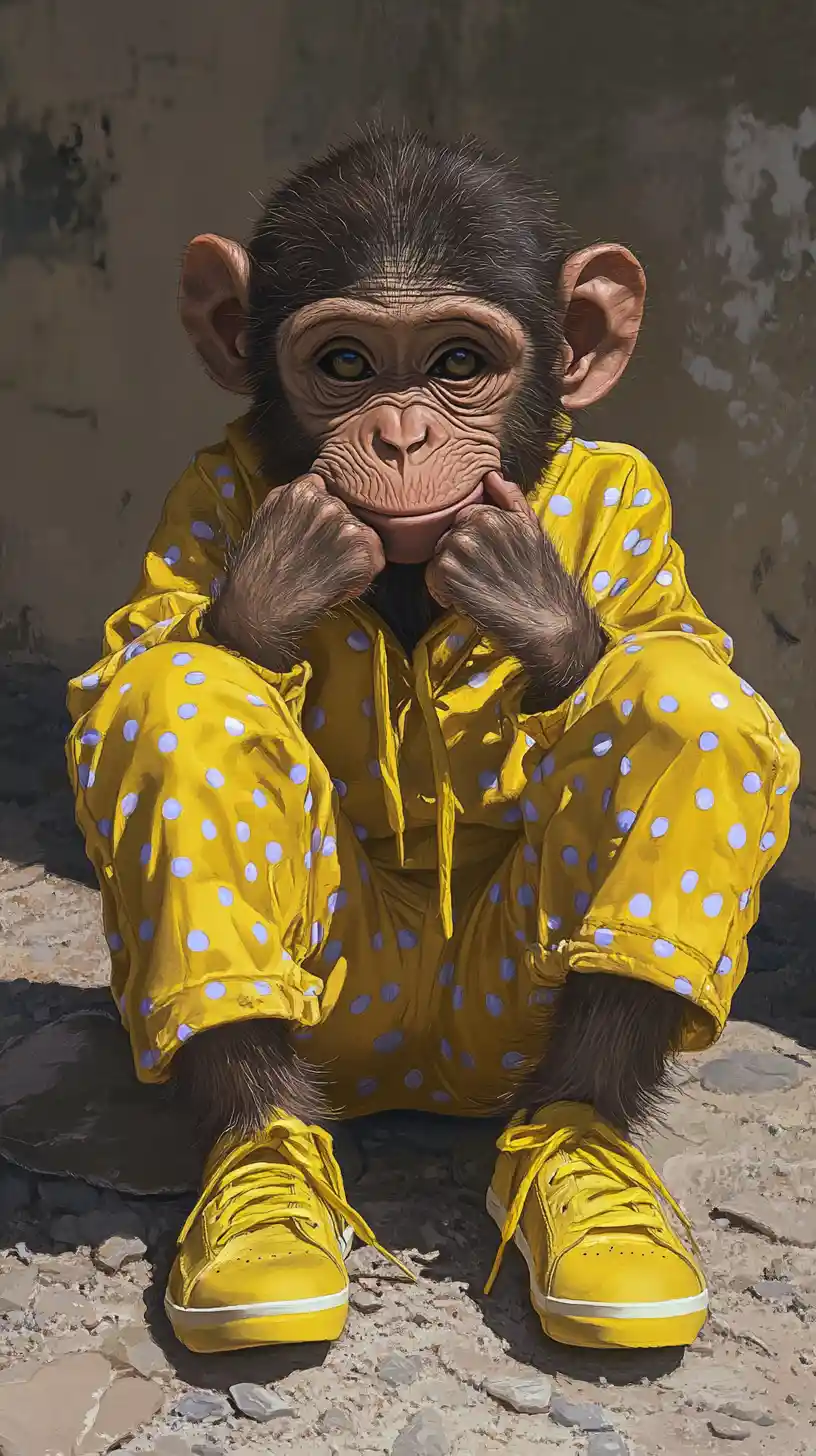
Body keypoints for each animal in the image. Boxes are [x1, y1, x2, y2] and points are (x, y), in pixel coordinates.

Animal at [67, 128, 798, 1356]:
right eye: (347, 363)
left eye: (458, 362)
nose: (402, 434)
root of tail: (423, 1064)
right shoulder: (196, 496)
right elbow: (125, 671)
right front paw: (281, 576)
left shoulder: (638, 495)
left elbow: (679, 642)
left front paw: (529, 593)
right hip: (348, 1014)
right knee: (182, 697)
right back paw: (263, 1172)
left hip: (500, 1022)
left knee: (681, 699)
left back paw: (583, 1149)